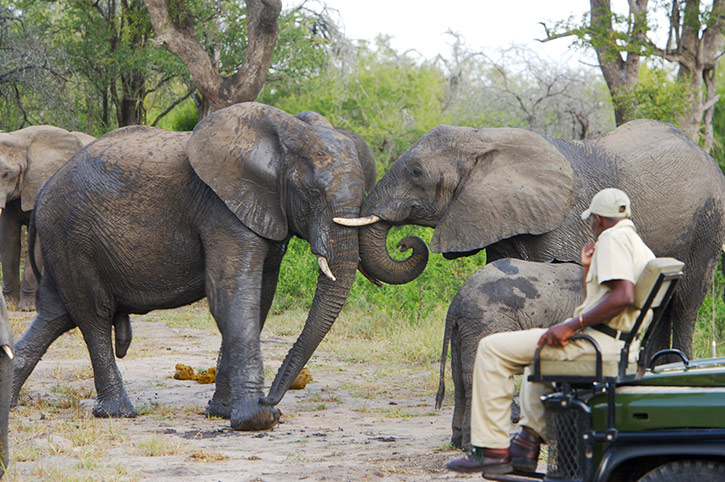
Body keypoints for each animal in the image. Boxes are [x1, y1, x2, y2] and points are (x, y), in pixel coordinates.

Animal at [11, 102, 367, 431]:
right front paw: (257, 419)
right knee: (92, 313)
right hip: (72, 236)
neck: (286, 135)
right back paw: (117, 412)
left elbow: (261, 297)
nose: (272, 398)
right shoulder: (221, 210)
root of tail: (42, 193)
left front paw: (222, 412)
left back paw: (12, 402)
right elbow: (231, 296)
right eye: (312, 193)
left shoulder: (266, 211)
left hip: (64, 242)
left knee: (56, 315)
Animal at [350, 119, 725, 358]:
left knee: (686, 301)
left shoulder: (566, 221)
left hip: (708, 223)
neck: (484, 139)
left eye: (416, 173)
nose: (405, 243)